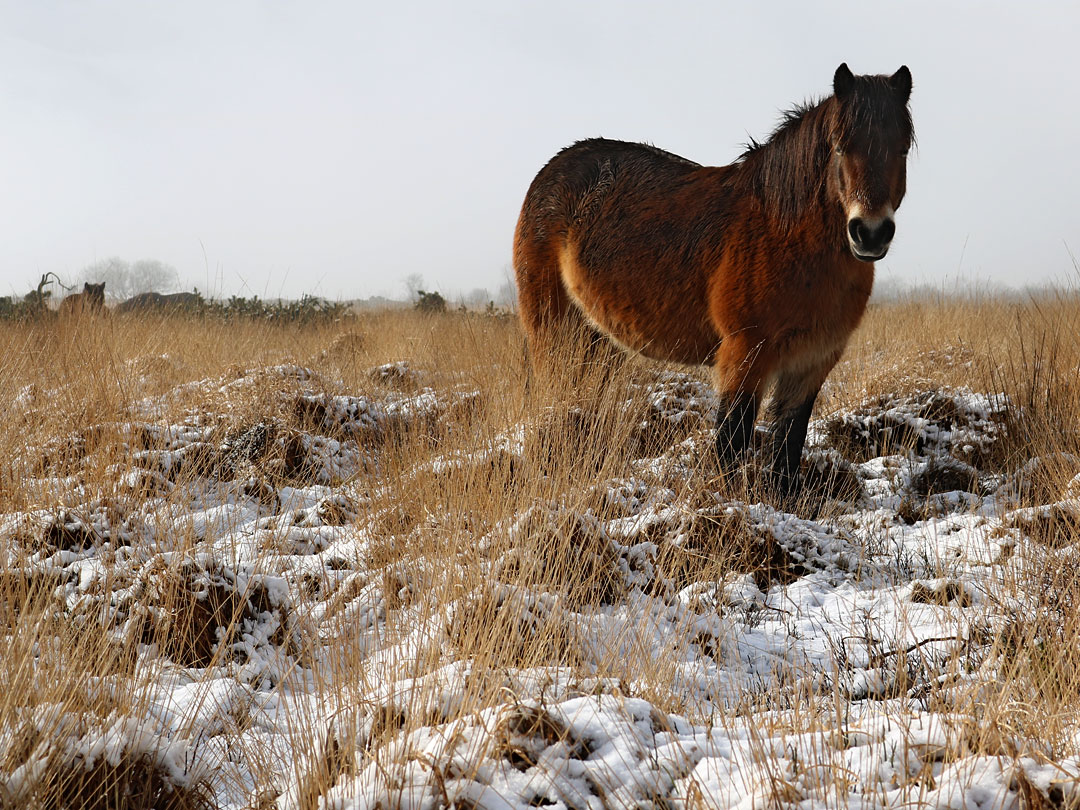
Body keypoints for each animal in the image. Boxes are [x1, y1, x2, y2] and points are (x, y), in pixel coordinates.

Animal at [511, 65, 911, 494]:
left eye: (903, 148)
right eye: (840, 146)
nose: (870, 233)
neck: (783, 233)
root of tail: (551, 171)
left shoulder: (812, 363)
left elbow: (788, 448)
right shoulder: (743, 355)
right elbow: (729, 445)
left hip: (597, 338)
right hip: (551, 330)